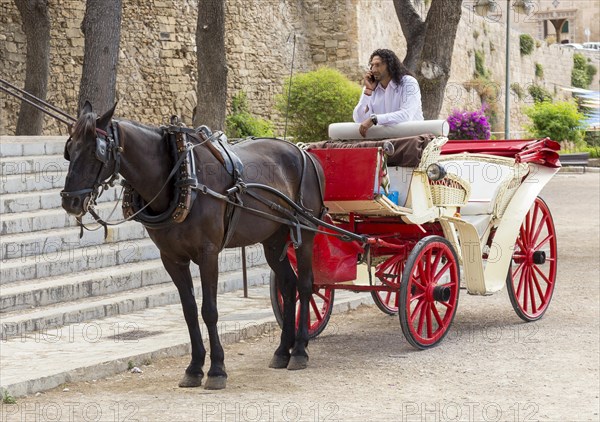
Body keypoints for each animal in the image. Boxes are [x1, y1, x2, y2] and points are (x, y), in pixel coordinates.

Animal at [61, 101, 326, 390]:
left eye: (96, 152)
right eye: (70, 149)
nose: (69, 202)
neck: (180, 177)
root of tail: (303, 151)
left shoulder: (208, 254)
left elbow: (209, 310)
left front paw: (217, 370)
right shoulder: (172, 258)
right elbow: (189, 310)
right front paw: (195, 367)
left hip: (305, 234)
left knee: (305, 285)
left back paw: (299, 350)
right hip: (273, 239)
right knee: (288, 286)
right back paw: (282, 351)